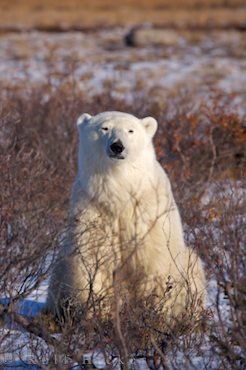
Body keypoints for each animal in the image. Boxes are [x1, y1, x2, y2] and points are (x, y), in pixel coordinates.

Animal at [46, 111, 206, 322]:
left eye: (131, 130)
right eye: (104, 128)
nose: (117, 146)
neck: (120, 190)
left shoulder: (147, 215)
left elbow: (153, 263)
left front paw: (153, 314)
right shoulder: (93, 209)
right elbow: (94, 260)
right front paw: (99, 314)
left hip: (188, 263)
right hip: (61, 266)